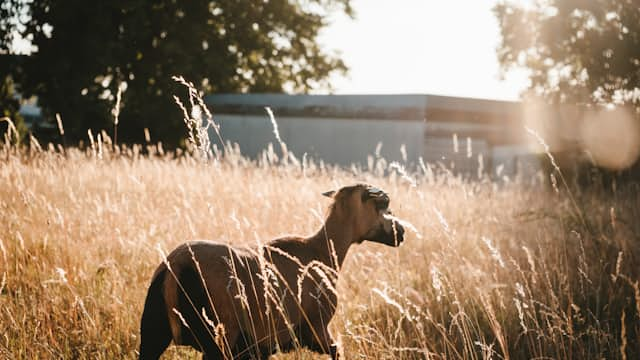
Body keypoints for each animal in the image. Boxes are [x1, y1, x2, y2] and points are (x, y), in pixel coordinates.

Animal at [139, 184, 404, 358]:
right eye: (382, 205)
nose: (400, 232)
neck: (321, 253)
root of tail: (175, 267)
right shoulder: (315, 329)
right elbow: (337, 351)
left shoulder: (261, 346)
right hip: (218, 337)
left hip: (153, 331)